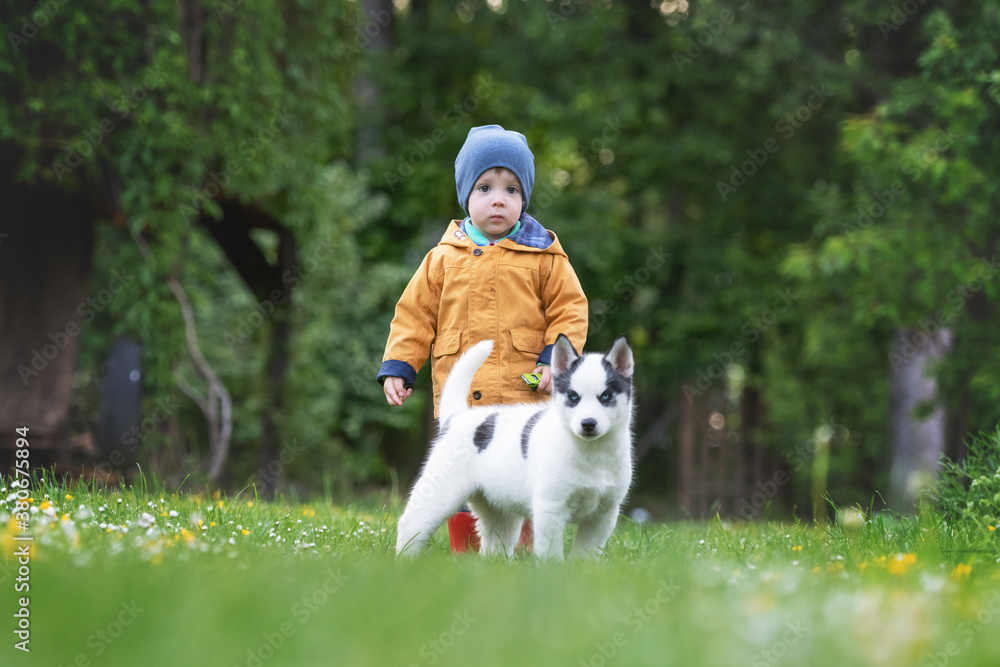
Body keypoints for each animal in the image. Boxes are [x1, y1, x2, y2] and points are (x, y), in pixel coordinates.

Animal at [392, 334, 632, 560]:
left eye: (606, 396)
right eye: (573, 397)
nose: (588, 424)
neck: (591, 453)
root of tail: (457, 416)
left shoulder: (604, 515)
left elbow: (587, 553)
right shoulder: (550, 508)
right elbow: (551, 552)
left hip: (498, 507)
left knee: (494, 541)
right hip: (440, 493)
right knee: (411, 523)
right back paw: (404, 561)